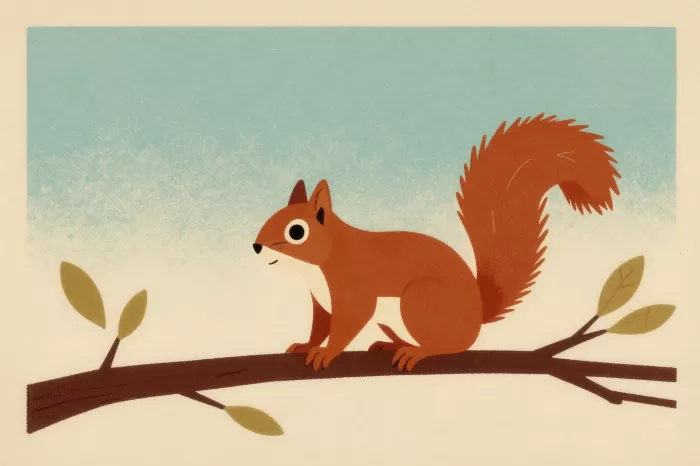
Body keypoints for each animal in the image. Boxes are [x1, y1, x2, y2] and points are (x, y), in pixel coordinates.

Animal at [253, 114, 620, 372]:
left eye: (297, 231)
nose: (256, 246)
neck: (317, 266)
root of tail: (477, 315)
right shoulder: (323, 303)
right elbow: (321, 325)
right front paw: (306, 345)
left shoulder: (354, 289)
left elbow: (349, 323)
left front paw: (326, 352)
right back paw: (392, 346)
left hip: (419, 301)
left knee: (454, 345)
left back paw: (419, 351)